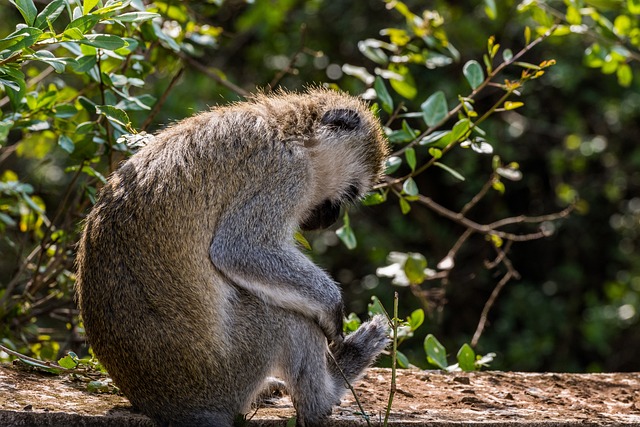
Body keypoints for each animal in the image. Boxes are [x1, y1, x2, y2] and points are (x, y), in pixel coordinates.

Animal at [72, 88, 388, 426]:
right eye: (351, 192)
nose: (331, 218)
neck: (293, 132)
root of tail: (168, 407)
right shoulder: (285, 173)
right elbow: (240, 250)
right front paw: (333, 307)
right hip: (231, 368)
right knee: (288, 316)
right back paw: (326, 395)